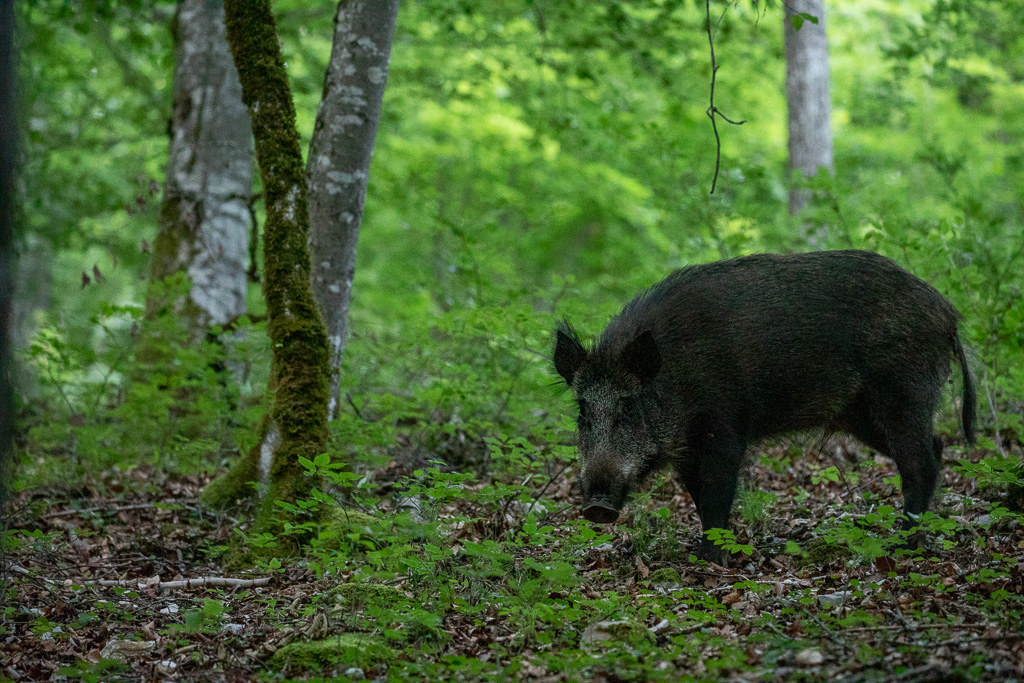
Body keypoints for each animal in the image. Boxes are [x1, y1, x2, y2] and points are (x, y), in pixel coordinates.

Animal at [553, 250, 976, 565]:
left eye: (627, 407)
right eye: (583, 412)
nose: (596, 506)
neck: (676, 379)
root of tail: (948, 314)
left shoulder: (724, 431)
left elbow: (718, 494)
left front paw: (712, 560)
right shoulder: (687, 449)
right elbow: (699, 497)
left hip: (903, 394)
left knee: (920, 461)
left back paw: (903, 544)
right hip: (864, 415)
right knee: (934, 448)